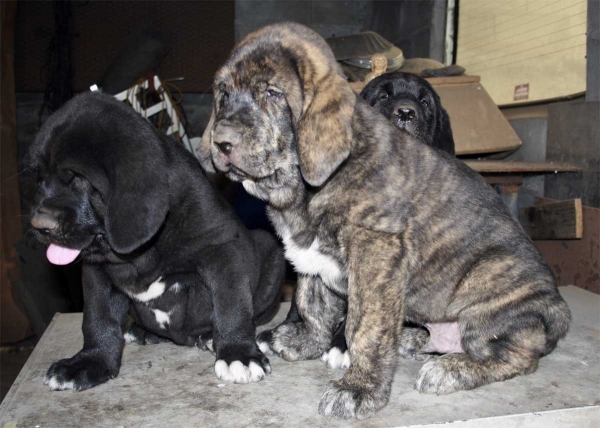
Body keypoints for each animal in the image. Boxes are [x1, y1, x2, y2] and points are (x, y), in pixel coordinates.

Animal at [29, 93, 288, 392]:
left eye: (77, 178)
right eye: (40, 180)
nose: (39, 226)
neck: (141, 254)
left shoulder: (223, 252)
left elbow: (231, 304)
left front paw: (238, 354)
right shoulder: (96, 270)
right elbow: (97, 318)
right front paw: (89, 362)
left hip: (269, 250)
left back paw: (209, 337)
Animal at [198, 21, 572, 420]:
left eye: (272, 92)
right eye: (223, 92)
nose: (221, 142)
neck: (306, 186)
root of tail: (557, 309)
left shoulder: (375, 254)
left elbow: (364, 328)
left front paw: (359, 387)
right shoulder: (310, 253)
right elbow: (310, 299)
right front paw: (307, 340)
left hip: (488, 279)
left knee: (516, 356)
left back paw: (450, 368)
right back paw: (411, 339)